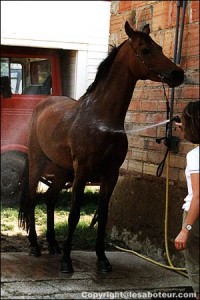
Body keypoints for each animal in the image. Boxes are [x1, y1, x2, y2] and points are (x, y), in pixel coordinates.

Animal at [18, 22, 184, 274]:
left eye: (160, 47)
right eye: (145, 50)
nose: (178, 74)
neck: (102, 119)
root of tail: (41, 106)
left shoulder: (111, 173)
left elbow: (103, 215)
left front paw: (102, 259)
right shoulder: (82, 172)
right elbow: (74, 214)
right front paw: (66, 261)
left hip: (61, 169)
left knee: (50, 199)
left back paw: (54, 245)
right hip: (38, 164)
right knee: (31, 199)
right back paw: (35, 246)